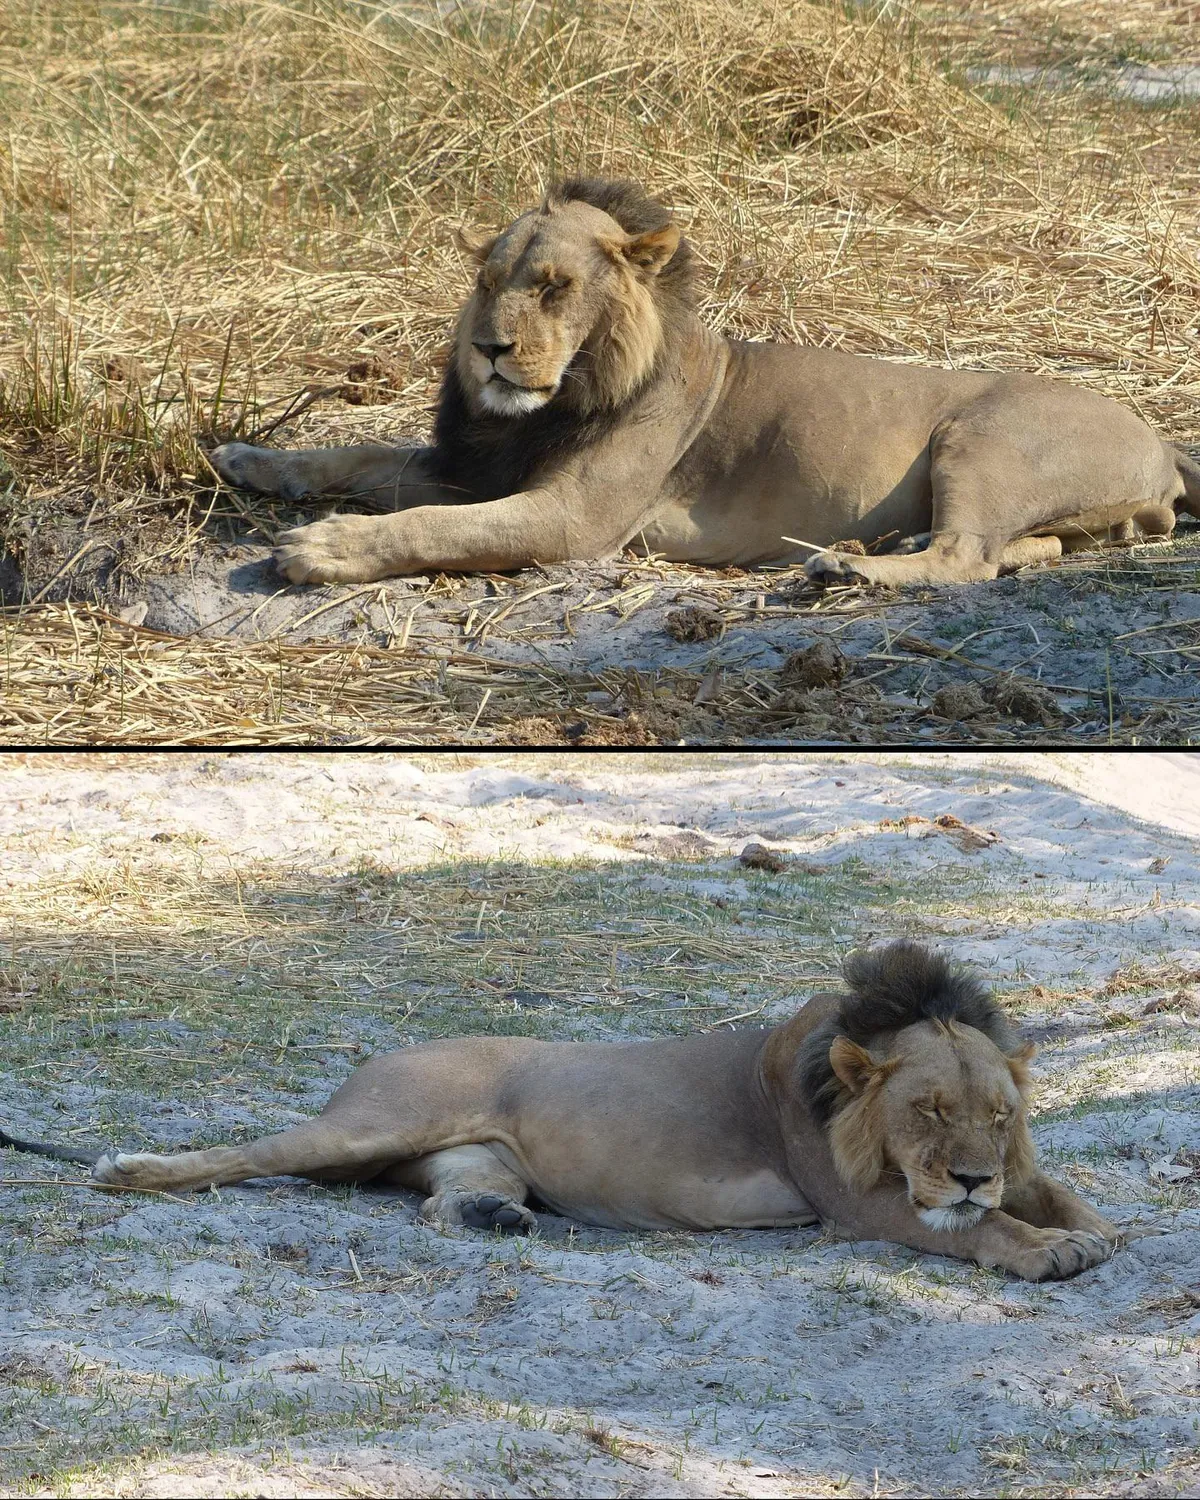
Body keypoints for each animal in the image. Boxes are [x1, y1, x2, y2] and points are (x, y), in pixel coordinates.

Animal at [1, 942, 1117, 1280]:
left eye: (999, 1116)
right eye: (927, 1109)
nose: (970, 1174)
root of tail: (377, 1058)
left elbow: (1062, 1196)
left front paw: (1088, 1228)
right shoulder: (850, 1203)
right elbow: (977, 1232)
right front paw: (1042, 1248)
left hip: (475, 1152)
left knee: (439, 1198)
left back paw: (495, 1216)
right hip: (371, 1122)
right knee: (241, 1155)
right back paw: (128, 1170)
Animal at [208, 177, 1200, 589]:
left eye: (554, 288)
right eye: (488, 283)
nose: (491, 349)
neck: (546, 405)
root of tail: (1158, 436)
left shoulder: (573, 521)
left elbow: (430, 528)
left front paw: (321, 549)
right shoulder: (478, 465)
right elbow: (360, 454)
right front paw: (249, 458)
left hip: (980, 439)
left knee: (965, 560)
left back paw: (846, 568)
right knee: (1017, 552)